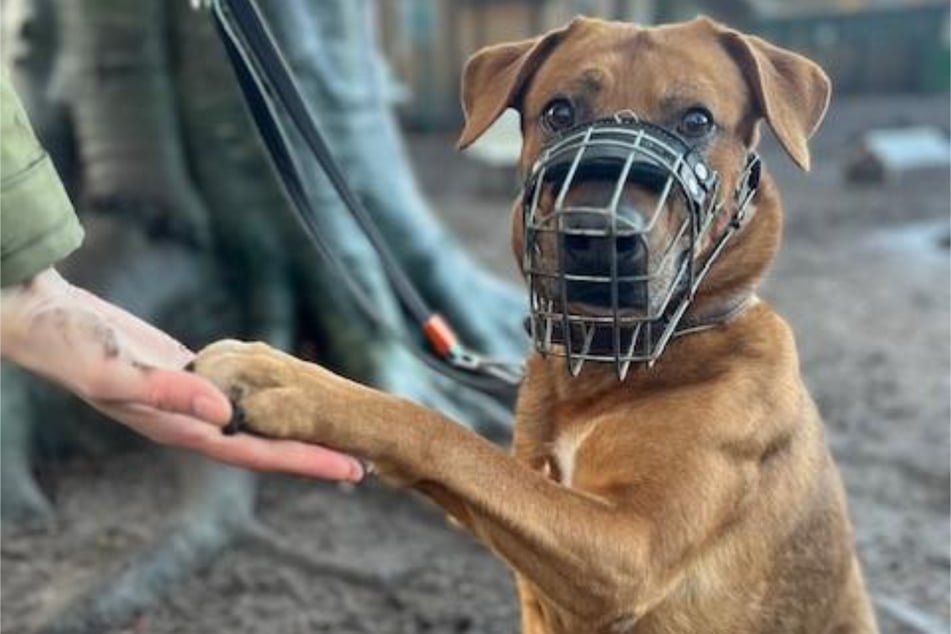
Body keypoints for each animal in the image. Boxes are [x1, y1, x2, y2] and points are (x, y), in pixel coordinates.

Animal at [192, 16, 876, 632]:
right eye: (559, 111)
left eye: (697, 120)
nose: (598, 237)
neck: (609, 364)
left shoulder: (630, 549)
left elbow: (443, 433)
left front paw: (290, 382)